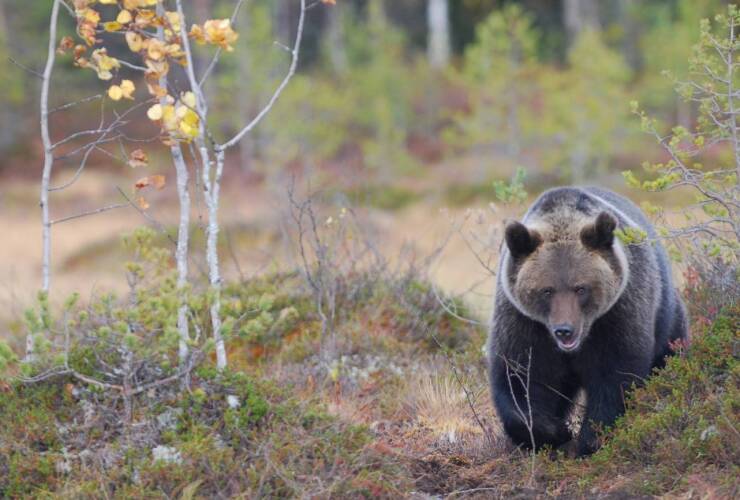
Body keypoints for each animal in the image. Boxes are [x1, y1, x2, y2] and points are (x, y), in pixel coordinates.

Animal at [488, 186, 688, 456]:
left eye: (580, 288)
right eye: (546, 290)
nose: (564, 330)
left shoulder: (617, 314)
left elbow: (615, 377)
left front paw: (590, 439)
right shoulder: (523, 324)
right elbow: (520, 378)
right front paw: (553, 432)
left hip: (666, 316)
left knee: (667, 352)